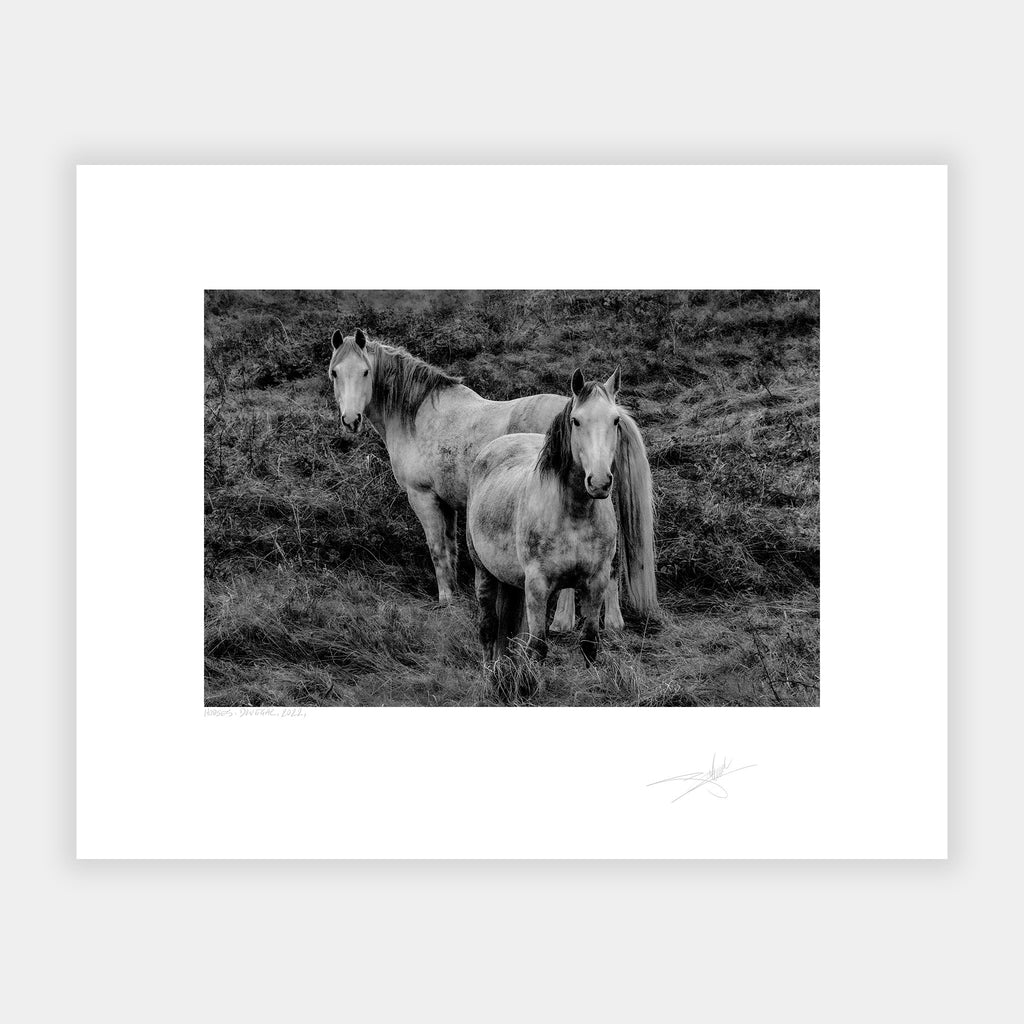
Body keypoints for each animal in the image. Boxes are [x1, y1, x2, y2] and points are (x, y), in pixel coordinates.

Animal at [328, 328, 658, 626]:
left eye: (365, 372)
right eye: (334, 373)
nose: (350, 420)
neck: (419, 416)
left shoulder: (423, 497)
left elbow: (437, 550)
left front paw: (445, 601)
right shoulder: (448, 504)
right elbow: (451, 549)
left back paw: (562, 622)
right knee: (610, 565)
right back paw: (612, 623)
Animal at [466, 367, 655, 690]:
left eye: (615, 420)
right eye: (576, 420)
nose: (600, 482)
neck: (574, 516)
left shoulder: (596, 581)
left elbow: (590, 642)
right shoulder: (538, 585)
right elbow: (538, 647)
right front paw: (529, 687)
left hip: (512, 581)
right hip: (484, 572)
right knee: (488, 628)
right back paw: (491, 675)